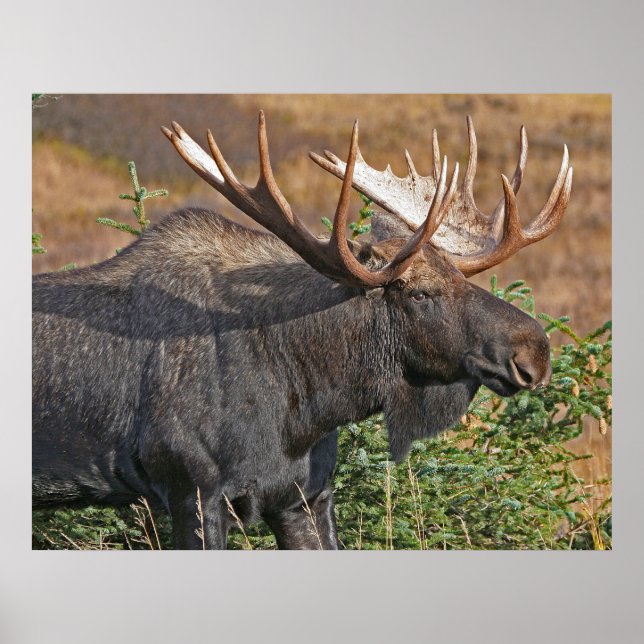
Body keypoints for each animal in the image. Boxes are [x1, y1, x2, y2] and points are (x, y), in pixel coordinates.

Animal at [32, 110, 571, 549]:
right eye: (419, 292)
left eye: (462, 277)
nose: (535, 352)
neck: (305, 403)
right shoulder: (193, 492)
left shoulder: (305, 497)